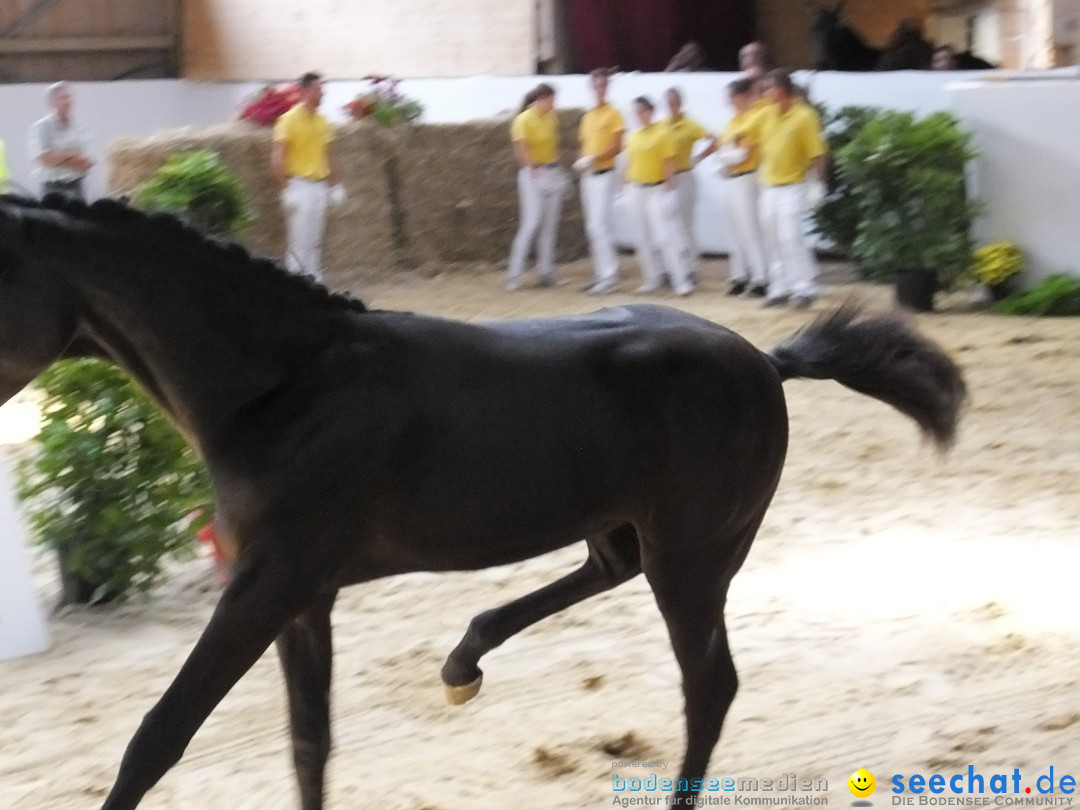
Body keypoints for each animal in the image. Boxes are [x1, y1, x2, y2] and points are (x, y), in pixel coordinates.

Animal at [0, 193, 967, 807]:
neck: (284, 387)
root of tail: (766, 362)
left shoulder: (266, 587)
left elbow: (157, 739)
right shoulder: (302, 598)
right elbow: (309, 743)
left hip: (696, 554)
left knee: (709, 684)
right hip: (642, 531)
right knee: (609, 571)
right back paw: (465, 658)